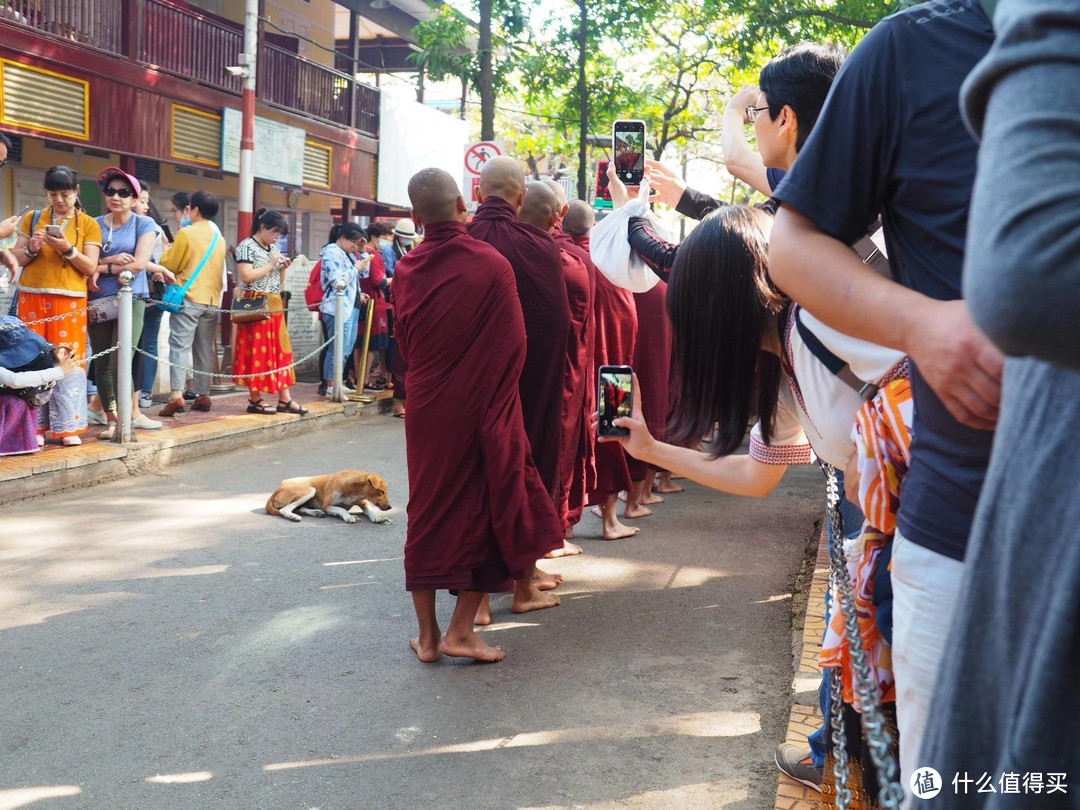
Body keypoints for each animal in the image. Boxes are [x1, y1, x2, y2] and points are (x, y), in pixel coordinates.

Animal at [264, 468, 393, 527]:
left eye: (386, 492)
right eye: (381, 491)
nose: (389, 507)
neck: (354, 490)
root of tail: (277, 489)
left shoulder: (363, 502)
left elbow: (370, 510)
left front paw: (376, 517)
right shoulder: (327, 506)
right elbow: (341, 509)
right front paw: (348, 516)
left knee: (299, 508)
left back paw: (316, 512)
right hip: (310, 490)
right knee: (284, 510)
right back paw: (293, 516)